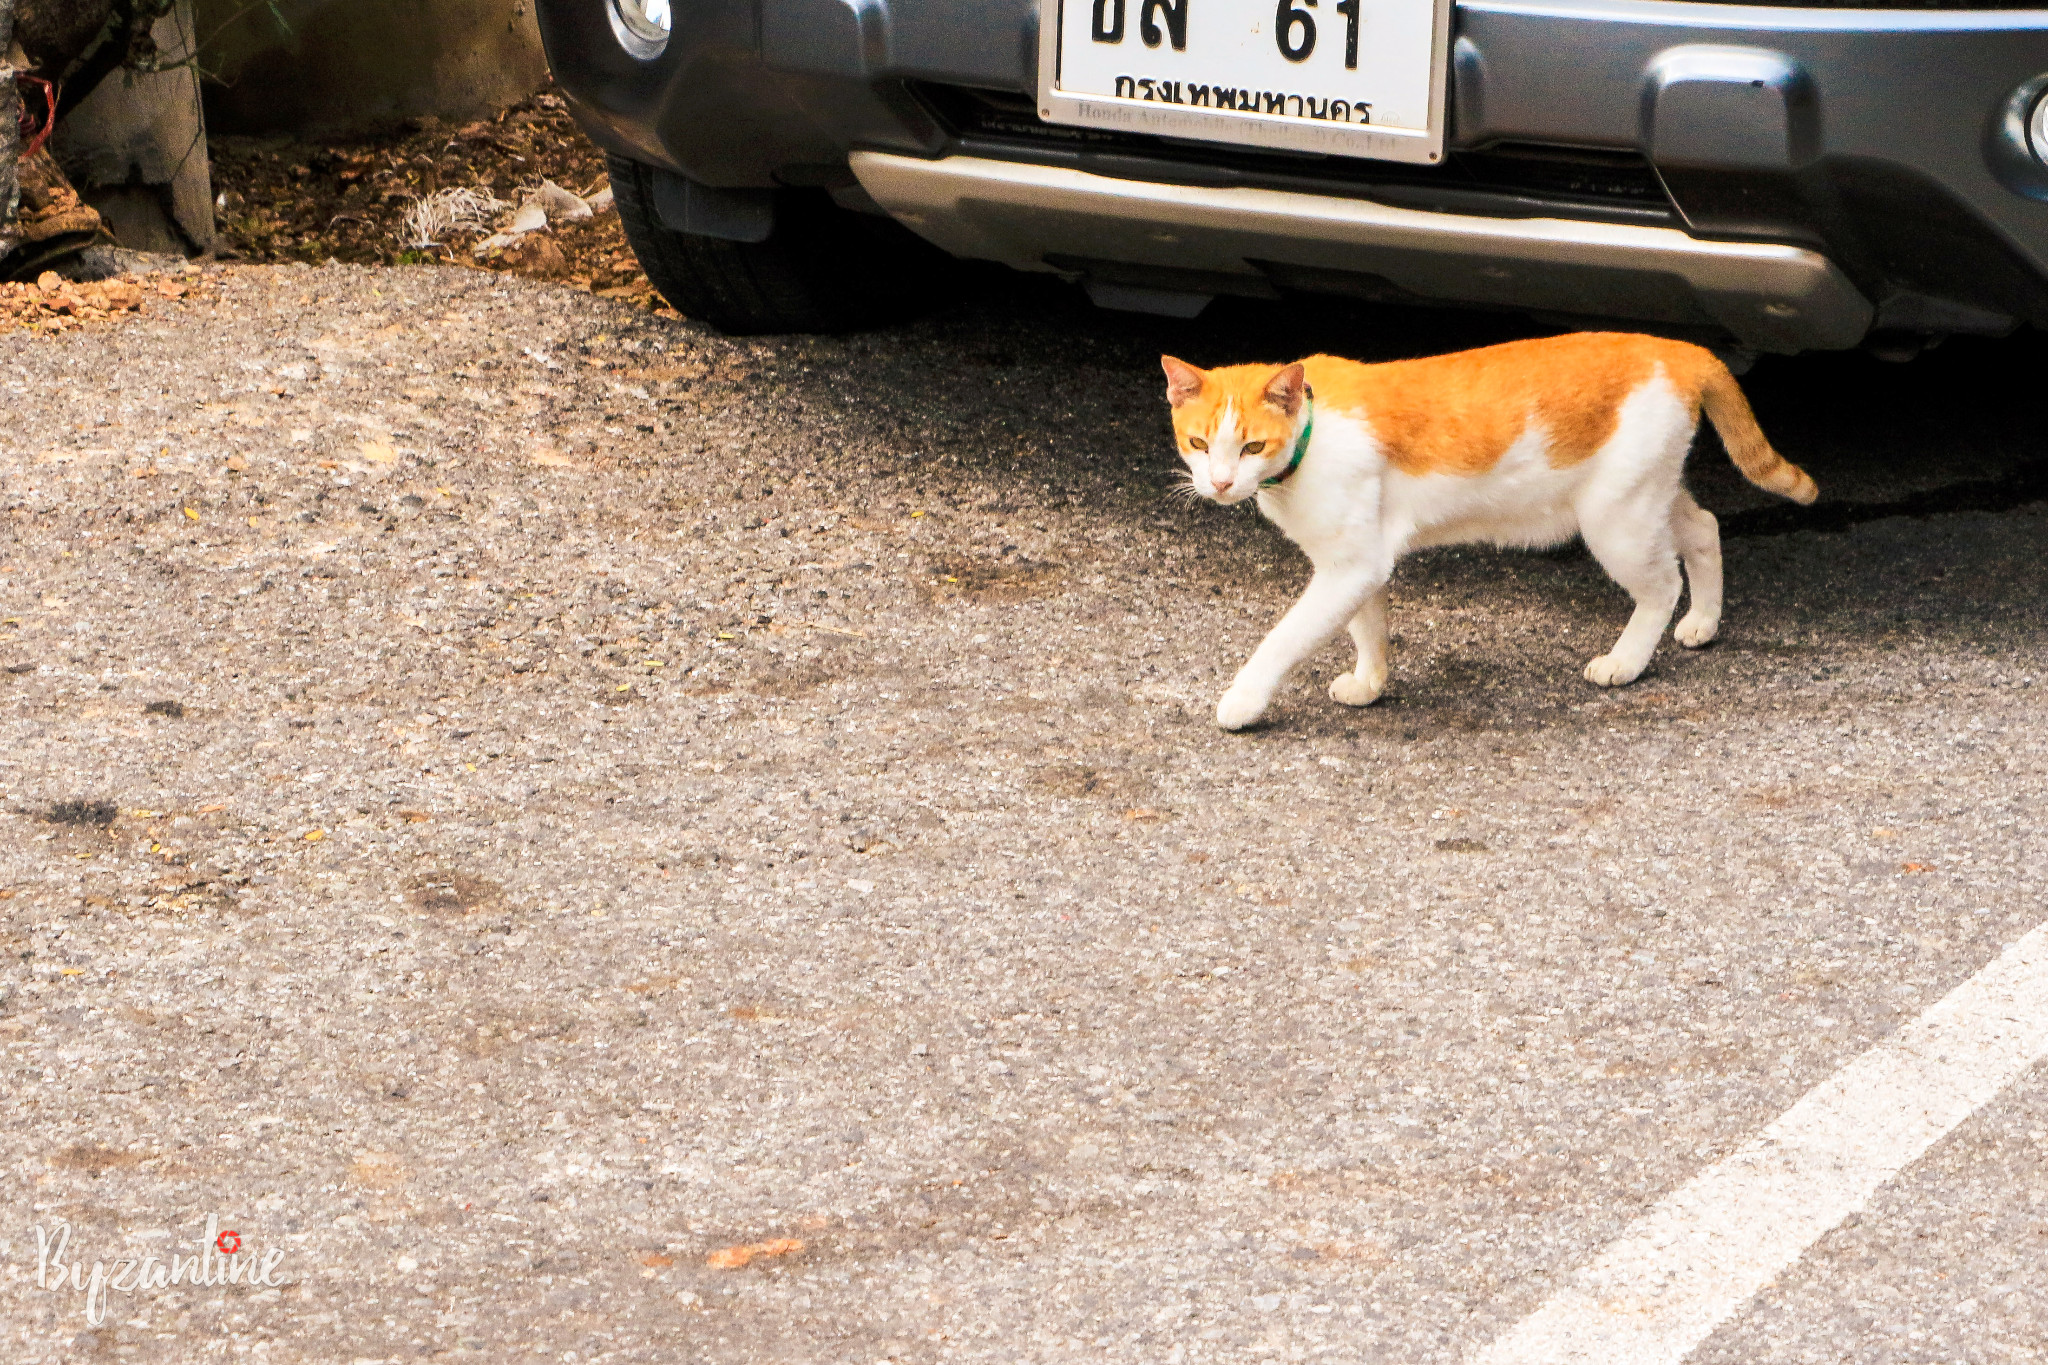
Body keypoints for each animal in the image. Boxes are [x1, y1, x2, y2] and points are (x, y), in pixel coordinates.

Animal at [1163, 331, 1818, 732]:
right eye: (1198, 443)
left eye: (1252, 446)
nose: (1220, 484)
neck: (1312, 430)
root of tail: (1679, 349)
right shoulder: (1358, 560)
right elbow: (1368, 626)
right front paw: (1370, 683)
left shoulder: (1350, 565)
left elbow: (1284, 639)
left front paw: (1243, 700)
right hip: (1646, 494)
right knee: (1703, 528)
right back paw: (1704, 621)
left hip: (1615, 521)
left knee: (1661, 584)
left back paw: (1627, 661)